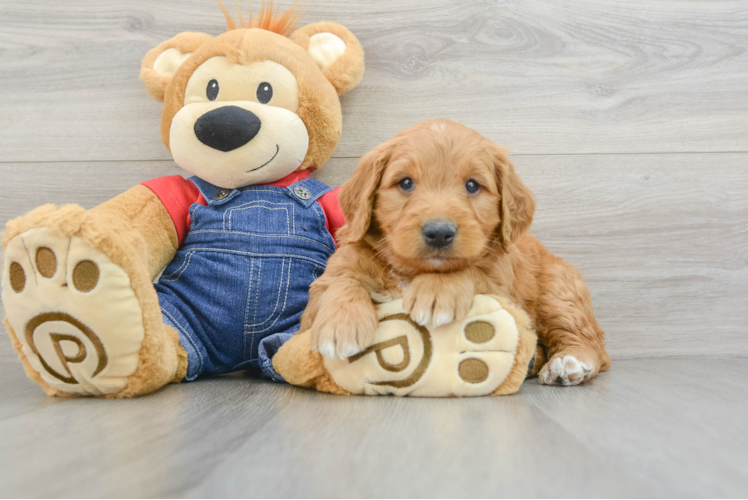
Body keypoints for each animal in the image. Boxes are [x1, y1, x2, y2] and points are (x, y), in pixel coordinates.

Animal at [300, 119, 612, 384]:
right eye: (405, 182)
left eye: (472, 185)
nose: (439, 232)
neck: (413, 272)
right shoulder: (329, 281)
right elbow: (338, 283)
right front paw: (341, 325)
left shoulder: (502, 289)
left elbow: (471, 270)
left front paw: (437, 290)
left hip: (559, 292)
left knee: (589, 338)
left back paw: (569, 362)